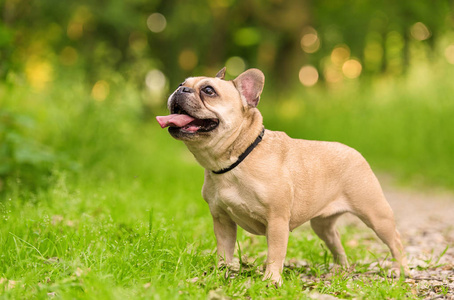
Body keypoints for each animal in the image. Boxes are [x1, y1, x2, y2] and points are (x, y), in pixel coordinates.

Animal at [156, 67, 408, 286]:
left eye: (208, 91)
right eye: (182, 83)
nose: (180, 89)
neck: (236, 158)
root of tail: (354, 151)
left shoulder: (276, 220)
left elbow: (275, 253)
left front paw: (271, 280)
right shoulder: (222, 220)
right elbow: (224, 250)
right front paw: (222, 273)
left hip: (375, 213)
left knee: (395, 240)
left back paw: (400, 270)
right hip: (322, 225)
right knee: (336, 240)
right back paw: (342, 269)